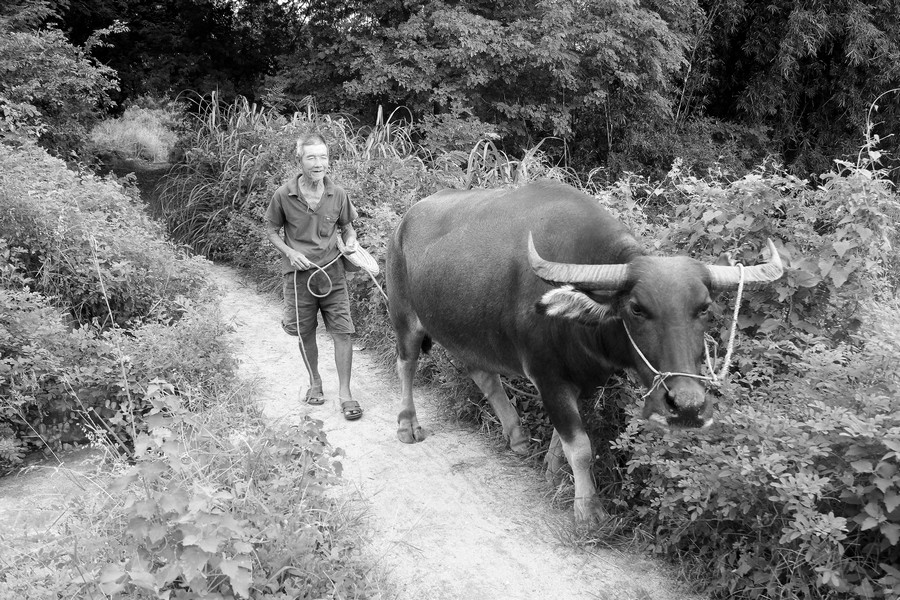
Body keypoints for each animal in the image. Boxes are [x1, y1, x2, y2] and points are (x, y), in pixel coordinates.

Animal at [384, 178, 780, 520]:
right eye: (637, 308)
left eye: (704, 308)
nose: (687, 406)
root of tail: (403, 223)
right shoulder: (547, 376)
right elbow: (581, 447)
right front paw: (588, 510)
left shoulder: (583, 379)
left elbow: (565, 439)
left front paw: (552, 471)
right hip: (403, 315)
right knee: (406, 364)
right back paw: (407, 425)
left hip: (467, 329)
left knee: (482, 373)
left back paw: (517, 436)